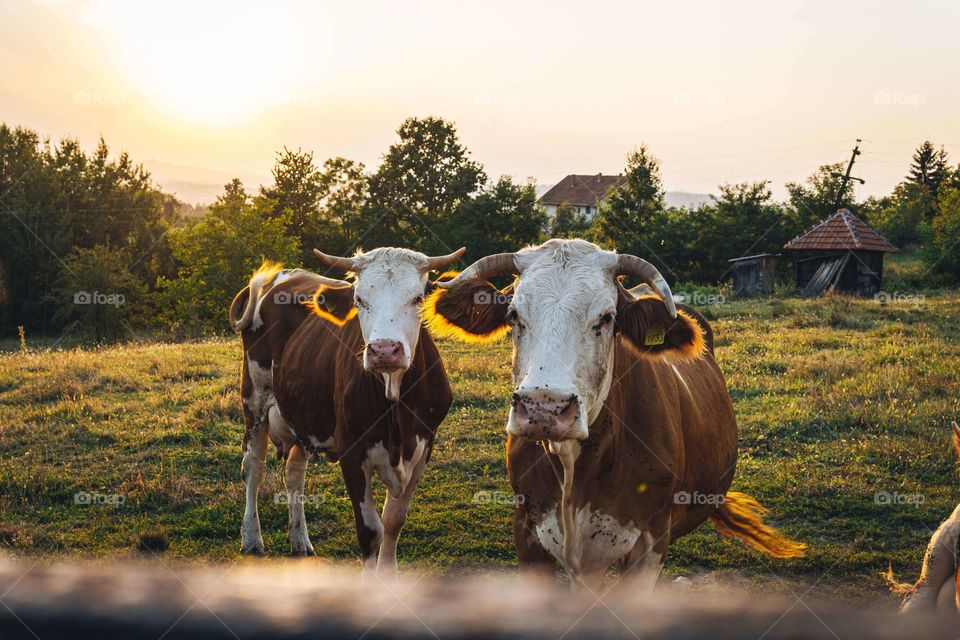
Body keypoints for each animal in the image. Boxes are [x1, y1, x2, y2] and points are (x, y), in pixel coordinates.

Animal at [228, 246, 464, 577]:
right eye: (359, 299)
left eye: (417, 298)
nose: (384, 350)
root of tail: (282, 274)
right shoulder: (351, 451)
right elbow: (371, 530)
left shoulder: (423, 447)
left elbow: (394, 521)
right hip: (255, 398)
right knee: (253, 466)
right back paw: (251, 538)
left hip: (302, 414)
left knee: (294, 472)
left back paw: (299, 539)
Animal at [423, 238, 804, 590]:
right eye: (514, 316)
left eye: (606, 318)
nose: (544, 407)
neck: (575, 472)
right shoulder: (529, 533)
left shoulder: (649, 542)